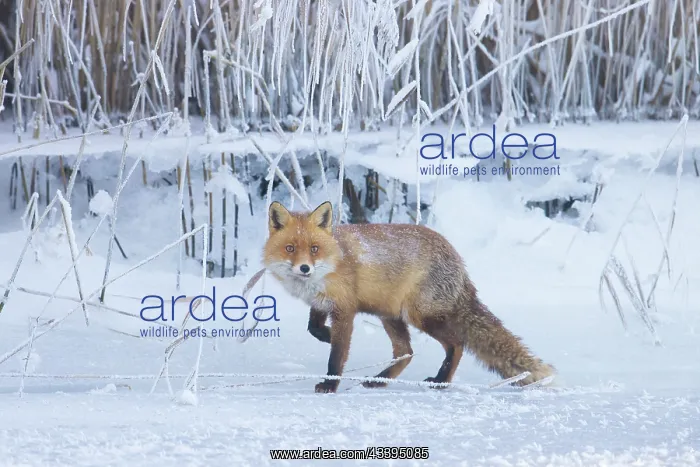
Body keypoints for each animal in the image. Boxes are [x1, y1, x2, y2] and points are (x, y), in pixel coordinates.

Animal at [263, 200, 555, 393]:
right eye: (290, 248)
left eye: (314, 249)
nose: (304, 268)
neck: (333, 260)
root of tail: (459, 262)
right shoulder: (322, 303)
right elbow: (313, 327)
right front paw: (325, 335)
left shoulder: (344, 309)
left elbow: (337, 355)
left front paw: (330, 384)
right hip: (391, 316)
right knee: (406, 352)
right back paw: (380, 380)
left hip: (420, 316)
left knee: (456, 344)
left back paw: (441, 381)